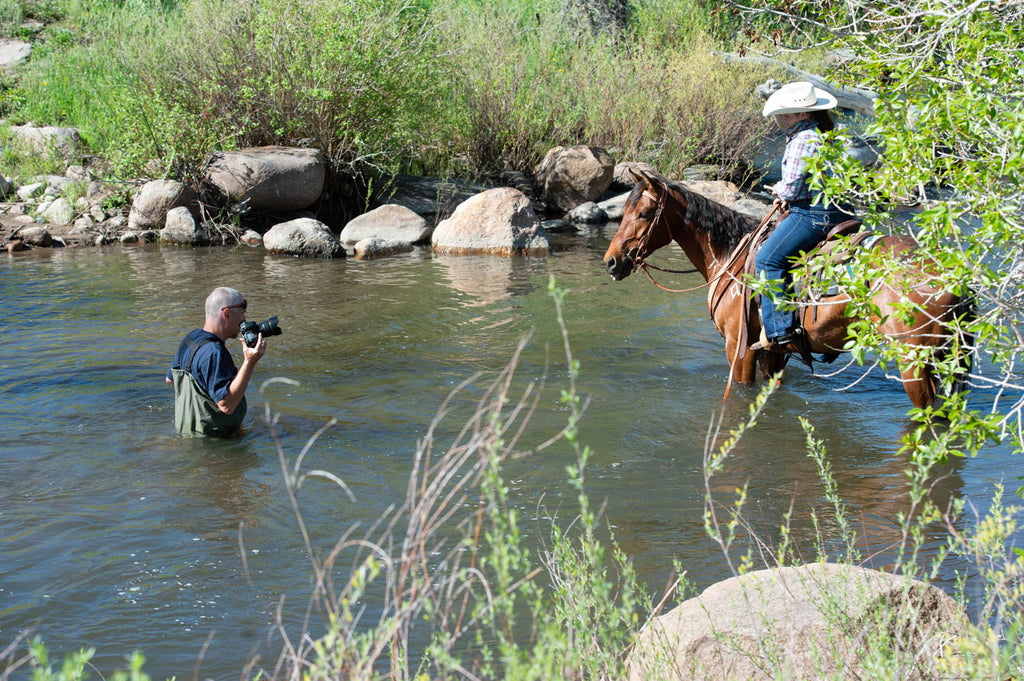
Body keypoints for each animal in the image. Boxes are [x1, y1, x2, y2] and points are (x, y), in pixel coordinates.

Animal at [602, 173, 970, 405]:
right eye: (624, 211)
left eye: (644, 213)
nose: (611, 262)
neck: (729, 254)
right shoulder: (774, 353)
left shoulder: (739, 348)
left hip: (915, 361)